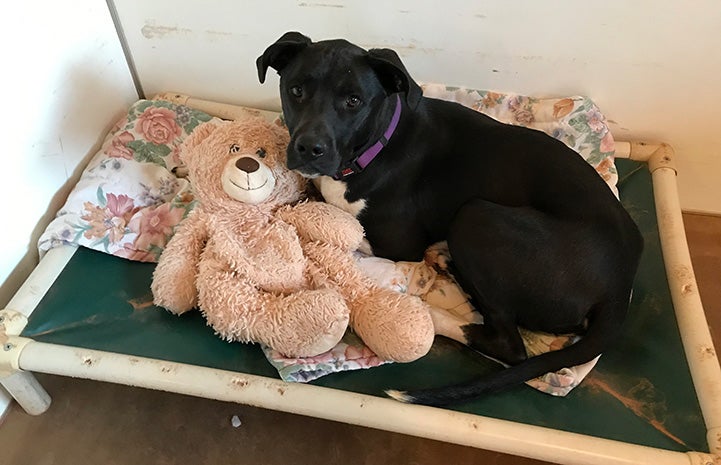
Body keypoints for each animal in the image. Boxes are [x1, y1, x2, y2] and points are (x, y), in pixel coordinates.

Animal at [258, 30, 640, 404]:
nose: (309, 149)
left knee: (508, 345)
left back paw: (432, 311)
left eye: (354, 101)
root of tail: (620, 288)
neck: (378, 146)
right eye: (296, 90)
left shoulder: (399, 245)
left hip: (475, 216)